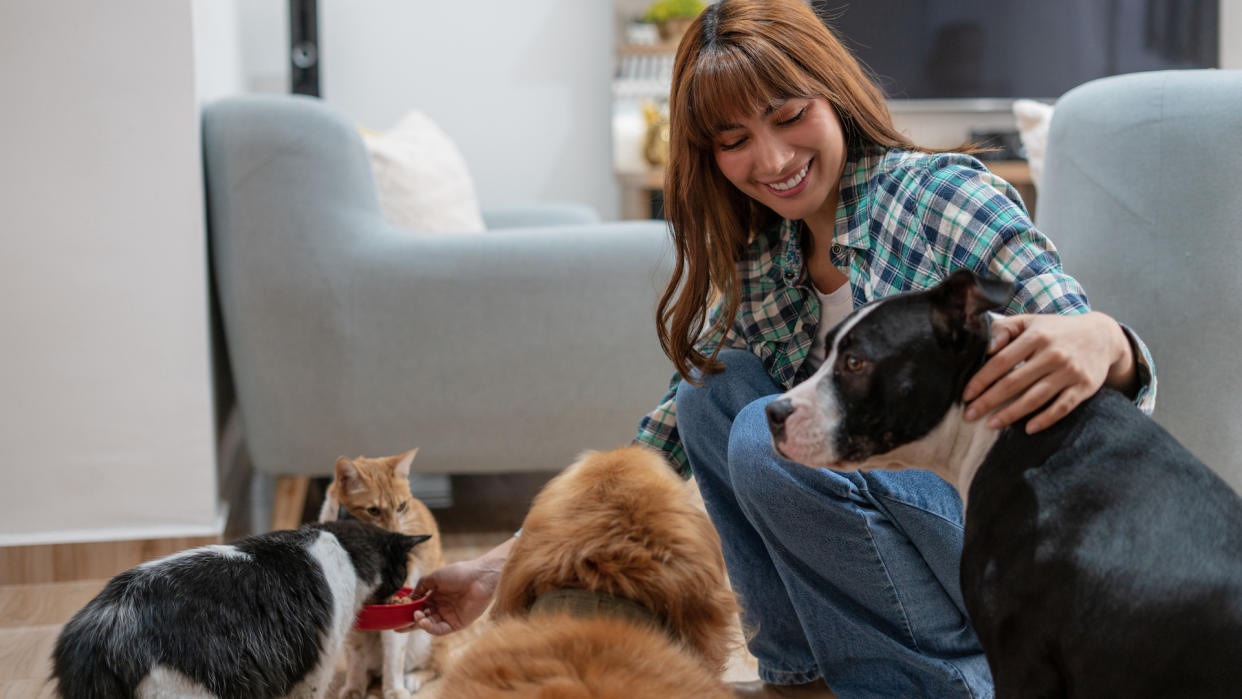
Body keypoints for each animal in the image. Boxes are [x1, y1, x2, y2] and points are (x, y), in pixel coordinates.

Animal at [317, 451, 444, 695]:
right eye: (373, 511)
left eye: (402, 506)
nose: (395, 531)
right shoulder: (352, 630)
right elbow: (355, 659)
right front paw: (354, 688)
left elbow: (393, 661)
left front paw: (394, 691)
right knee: (371, 668)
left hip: (424, 641)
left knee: (435, 666)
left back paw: (412, 679)